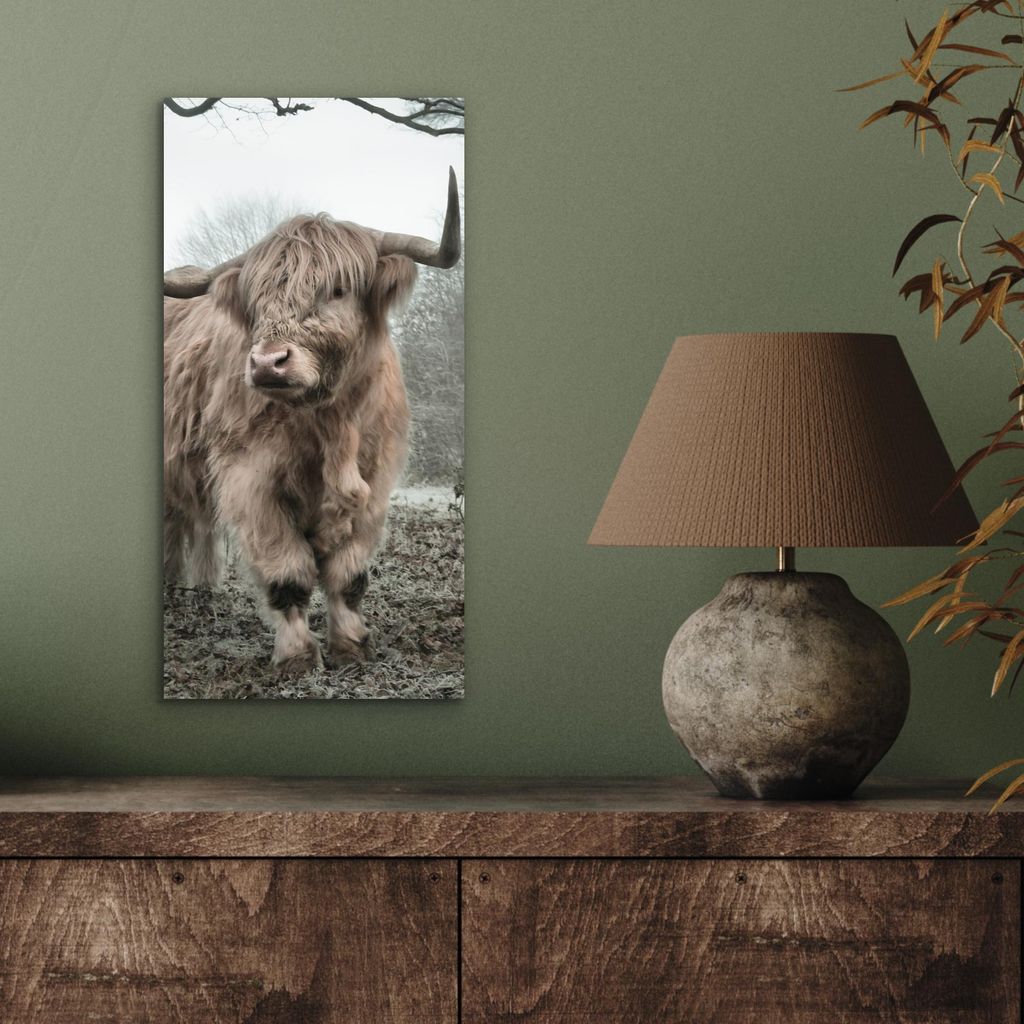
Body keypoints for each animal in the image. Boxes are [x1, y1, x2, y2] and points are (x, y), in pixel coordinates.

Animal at [163, 168, 461, 674]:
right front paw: (298, 656)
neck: (330, 425)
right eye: (257, 299)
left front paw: (352, 645)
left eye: (337, 289)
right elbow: (288, 574)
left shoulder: (374, 483)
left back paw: (201, 590)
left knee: (198, 525)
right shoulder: (250, 482)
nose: (267, 363)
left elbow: (349, 575)